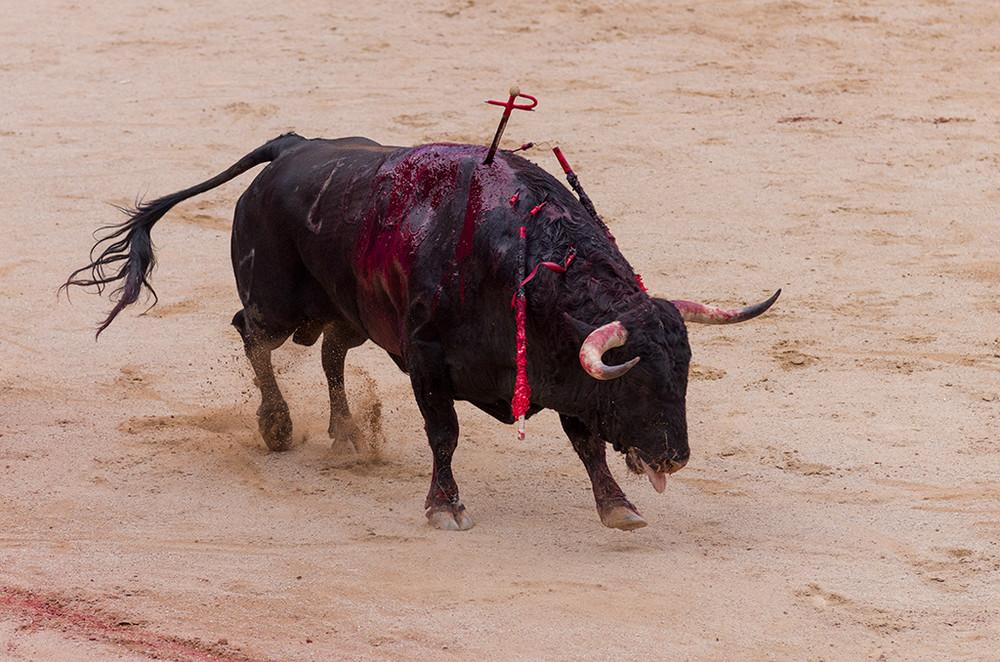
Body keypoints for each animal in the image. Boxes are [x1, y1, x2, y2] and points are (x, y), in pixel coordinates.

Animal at [64, 135, 780, 536]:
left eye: (682, 378)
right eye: (638, 383)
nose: (673, 458)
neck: (521, 266)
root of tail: (291, 145)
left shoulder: (564, 373)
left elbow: (587, 446)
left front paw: (618, 508)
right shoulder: (429, 361)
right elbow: (446, 435)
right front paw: (444, 507)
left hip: (351, 313)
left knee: (331, 350)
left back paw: (348, 433)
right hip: (276, 303)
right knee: (254, 337)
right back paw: (277, 425)